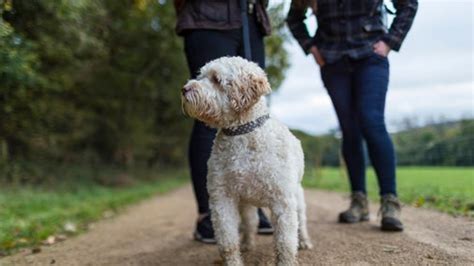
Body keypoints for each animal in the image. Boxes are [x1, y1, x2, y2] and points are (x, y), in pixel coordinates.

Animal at [181, 56, 312, 266]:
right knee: (250, 223)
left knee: (301, 221)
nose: (184, 89)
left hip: (296, 196)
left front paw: (286, 261)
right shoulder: (222, 199)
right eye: (200, 75)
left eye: (216, 79)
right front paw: (234, 260)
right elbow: (227, 241)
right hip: (246, 202)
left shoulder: (282, 200)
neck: (241, 133)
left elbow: (285, 241)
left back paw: (305, 241)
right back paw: (247, 244)